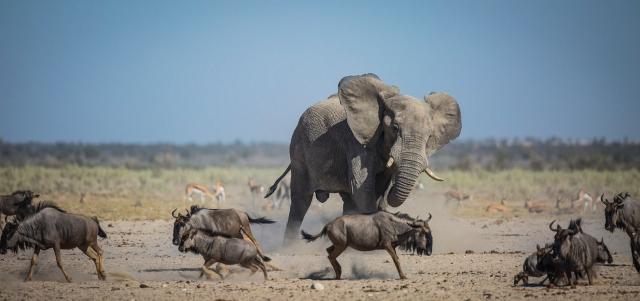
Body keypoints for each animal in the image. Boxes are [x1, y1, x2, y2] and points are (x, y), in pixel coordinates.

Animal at [264, 73, 460, 244]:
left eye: (429, 136)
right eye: (395, 128)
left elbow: (378, 189)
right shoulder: (356, 142)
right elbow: (362, 187)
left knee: (347, 200)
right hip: (299, 150)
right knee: (301, 200)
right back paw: (289, 247)